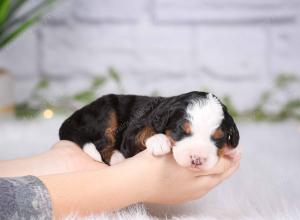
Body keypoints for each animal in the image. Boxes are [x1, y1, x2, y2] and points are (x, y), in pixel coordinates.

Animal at [59, 91, 240, 170]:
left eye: (218, 138)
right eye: (181, 131)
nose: (197, 159)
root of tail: (74, 116)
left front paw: (232, 150)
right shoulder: (131, 133)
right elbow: (144, 131)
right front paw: (159, 141)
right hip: (106, 111)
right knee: (102, 144)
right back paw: (117, 158)